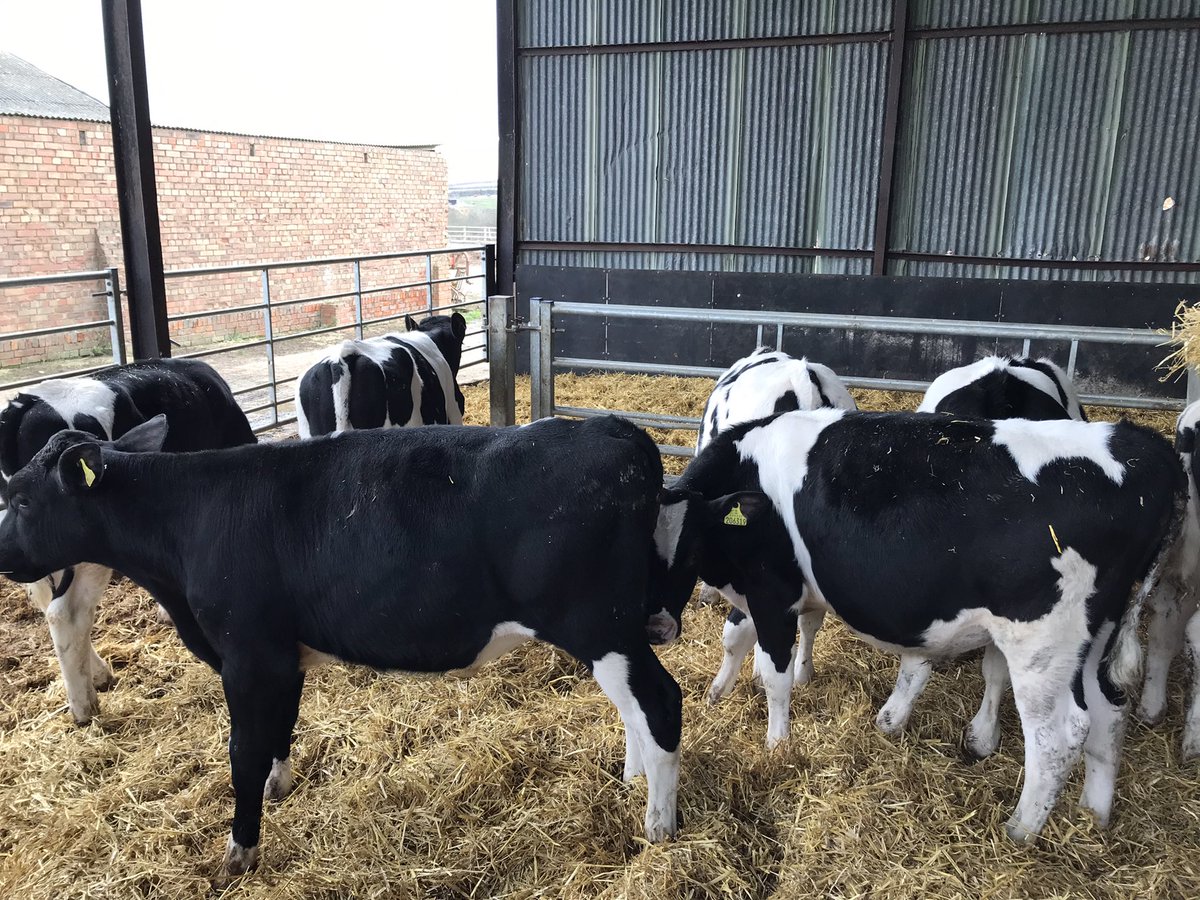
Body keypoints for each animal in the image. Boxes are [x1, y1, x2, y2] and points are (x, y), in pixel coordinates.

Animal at [0, 414, 680, 874]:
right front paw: (278, 788)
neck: (190, 519)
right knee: (636, 711)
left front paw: (240, 851)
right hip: (613, 633)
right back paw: (632, 781)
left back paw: (659, 826)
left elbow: (243, 750)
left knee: (662, 702)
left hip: (597, 626)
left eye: (22, 499)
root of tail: (614, 431)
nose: (1, 553)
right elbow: (282, 725)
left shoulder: (247, 655)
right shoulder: (282, 655)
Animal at [651, 409, 1182, 842]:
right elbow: (740, 637)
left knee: (1059, 735)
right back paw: (1095, 815)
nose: (656, 626)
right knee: (1110, 711)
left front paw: (778, 744)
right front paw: (719, 692)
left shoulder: (771, 589)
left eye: (689, 550)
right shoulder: (769, 591)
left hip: (1043, 642)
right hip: (1096, 634)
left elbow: (774, 674)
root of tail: (1140, 446)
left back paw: (1020, 830)